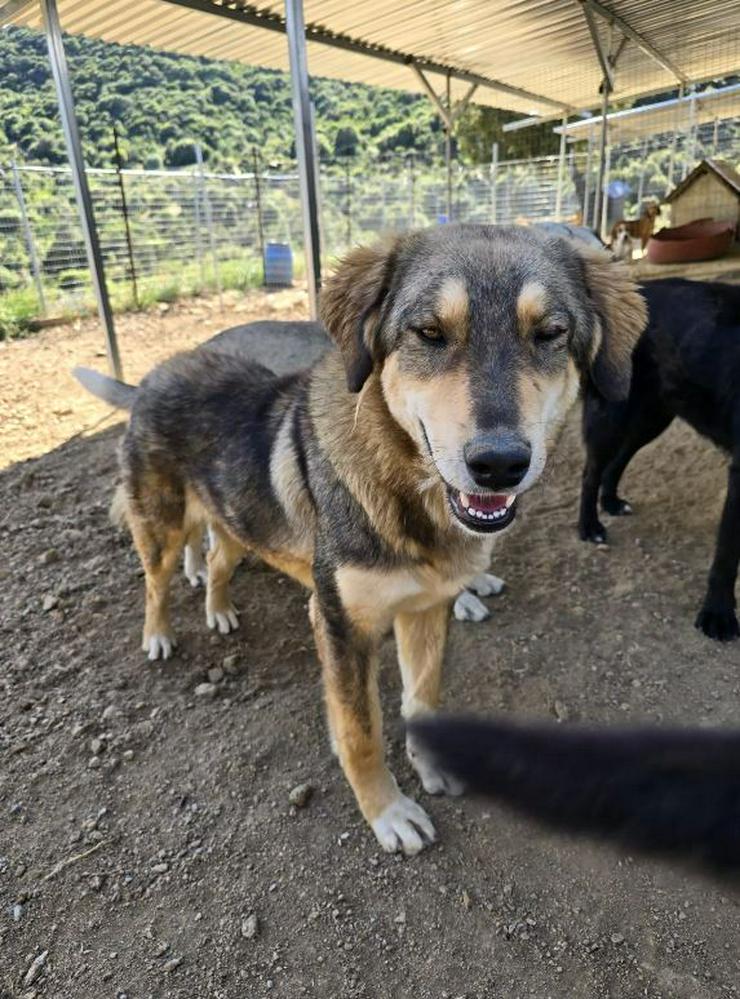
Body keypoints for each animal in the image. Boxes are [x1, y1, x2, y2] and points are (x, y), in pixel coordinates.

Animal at [72, 223, 644, 856]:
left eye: (549, 334)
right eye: (428, 333)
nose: (499, 465)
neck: (406, 493)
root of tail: (152, 376)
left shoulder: (424, 608)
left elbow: (423, 698)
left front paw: (431, 764)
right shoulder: (340, 623)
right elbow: (360, 731)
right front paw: (388, 812)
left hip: (242, 520)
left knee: (220, 559)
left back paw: (218, 609)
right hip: (164, 525)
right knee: (156, 581)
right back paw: (159, 635)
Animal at [580, 278, 736, 644]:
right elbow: (726, 554)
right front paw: (717, 615)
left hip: (652, 415)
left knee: (618, 461)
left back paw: (611, 502)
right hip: (612, 415)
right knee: (591, 472)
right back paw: (589, 526)